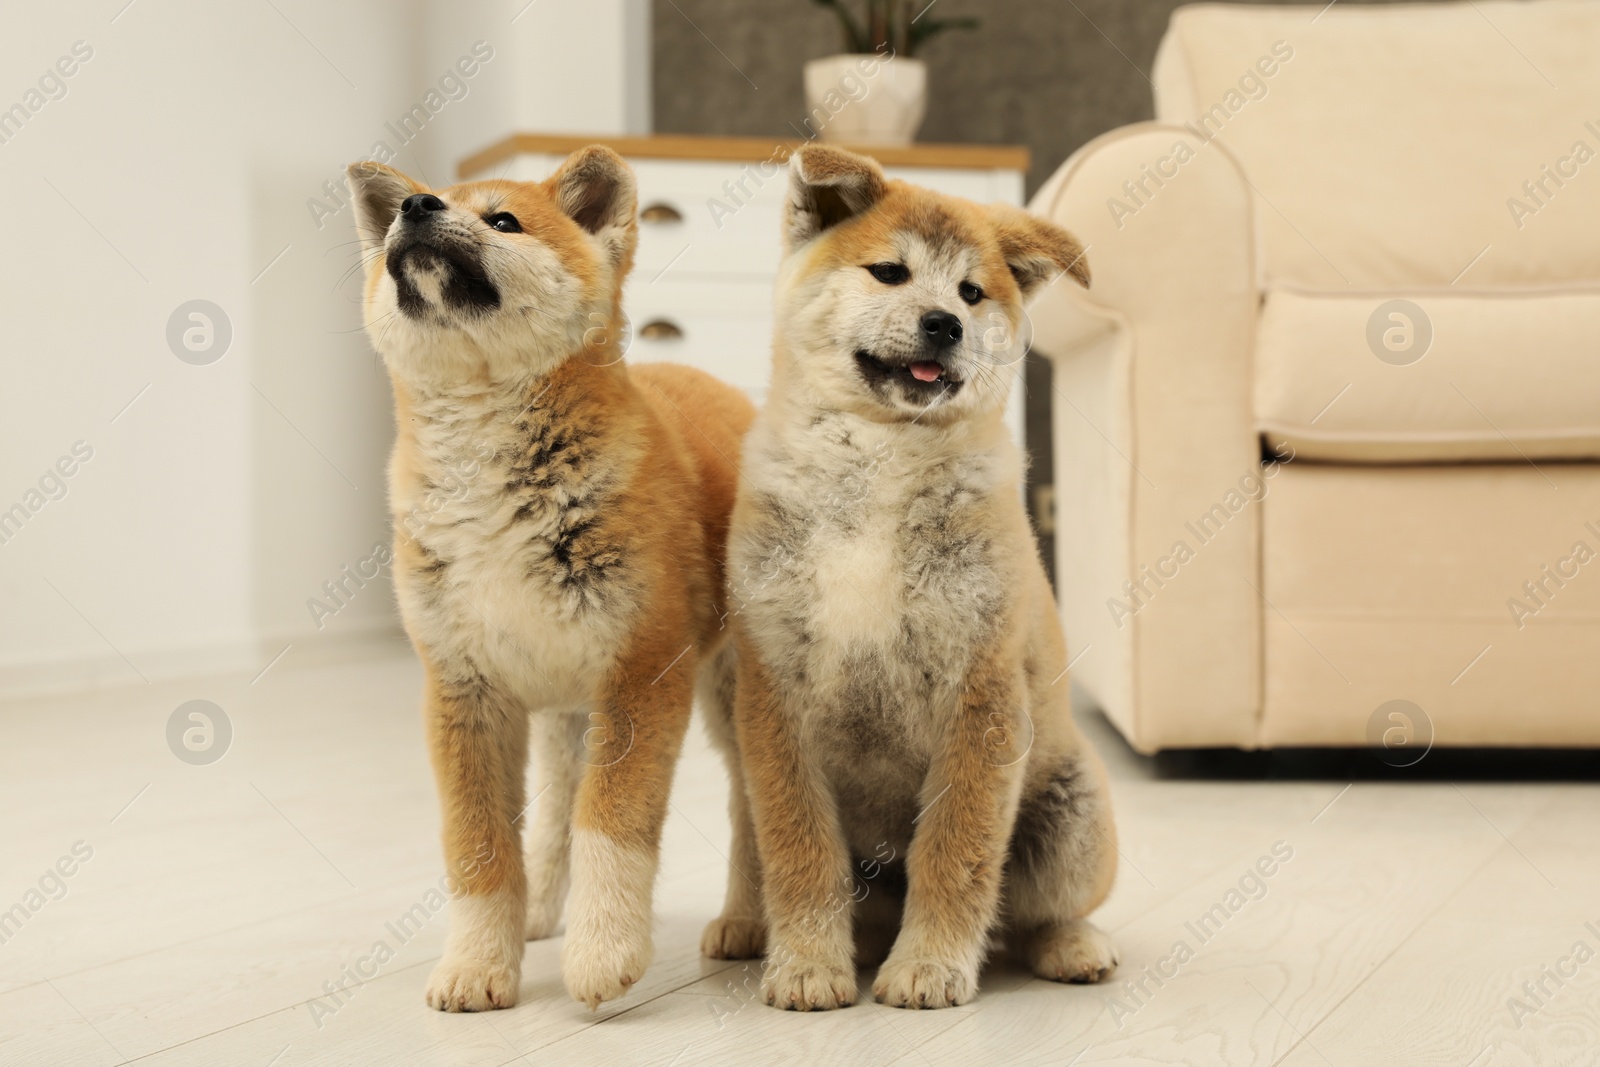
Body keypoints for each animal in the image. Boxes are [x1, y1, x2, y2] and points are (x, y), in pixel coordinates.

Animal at [345, 147, 755, 1011]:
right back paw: (541, 908)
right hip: (569, 714)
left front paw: (604, 951)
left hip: (729, 698)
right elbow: (481, 846)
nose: (415, 208)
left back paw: (747, 918)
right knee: (561, 808)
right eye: (405, 211)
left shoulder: (643, 676)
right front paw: (479, 960)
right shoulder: (464, 691)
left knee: (749, 805)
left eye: (504, 220)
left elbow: (613, 823)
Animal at [723, 146, 1113, 1017]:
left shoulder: (981, 691)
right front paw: (809, 965)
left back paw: (1072, 948)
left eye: (971, 292)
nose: (945, 323)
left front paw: (930, 966)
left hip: (1072, 816)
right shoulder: (775, 695)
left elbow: (956, 851)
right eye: (890, 272)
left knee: (1034, 915)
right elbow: (800, 852)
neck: (879, 462)